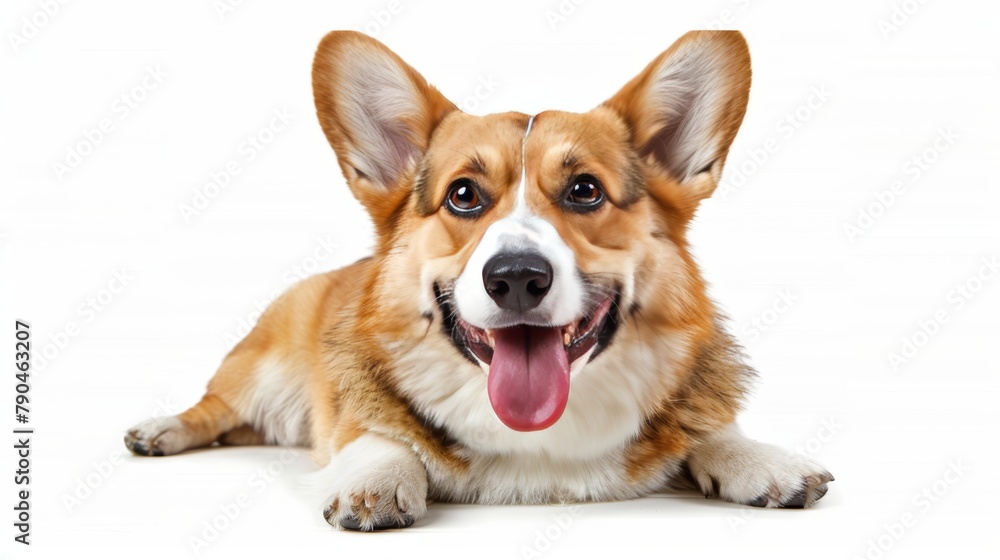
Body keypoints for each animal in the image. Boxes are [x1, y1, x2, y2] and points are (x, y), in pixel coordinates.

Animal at [125, 29, 832, 528]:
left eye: (585, 191)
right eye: (463, 195)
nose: (517, 278)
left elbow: (708, 430)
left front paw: (761, 460)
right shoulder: (353, 410)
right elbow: (378, 434)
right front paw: (379, 480)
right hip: (256, 370)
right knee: (215, 407)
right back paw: (160, 430)